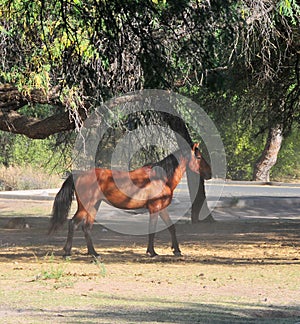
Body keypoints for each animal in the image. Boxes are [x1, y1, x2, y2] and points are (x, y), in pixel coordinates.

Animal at [49, 144, 211, 258]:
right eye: (198, 157)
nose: (209, 173)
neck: (160, 177)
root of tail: (78, 175)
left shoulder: (162, 208)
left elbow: (171, 227)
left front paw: (176, 250)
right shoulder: (154, 208)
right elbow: (152, 229)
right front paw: (151, 252)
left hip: (94, 206)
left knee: (86, 227)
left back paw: (94, 253)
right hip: (85, 206)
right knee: (73, 223)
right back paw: (68, 252)